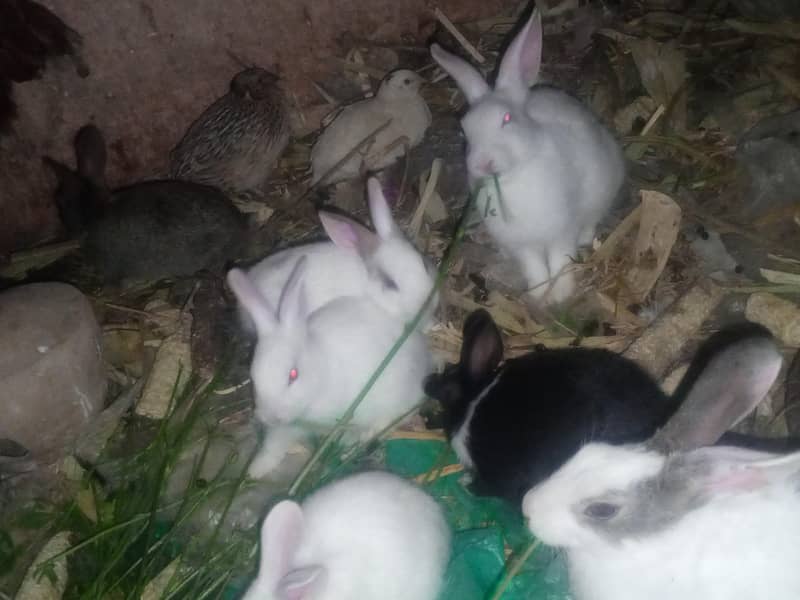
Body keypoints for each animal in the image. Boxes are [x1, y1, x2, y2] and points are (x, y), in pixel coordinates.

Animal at [227, 255, 433, 479]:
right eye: (253, 378)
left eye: (293, 374)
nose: (272, 418)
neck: (321, 373)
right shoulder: (287, 429)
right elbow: (273, 446)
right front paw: (255, 470)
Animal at [430, 8, 625, 305]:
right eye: (464, 130)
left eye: (507, 119)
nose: (483, 163)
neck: (514, 180)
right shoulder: (522, 244)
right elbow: (534, 266)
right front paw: (538, 293)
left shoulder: (561, 232)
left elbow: (560, 261)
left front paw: (561, 295)